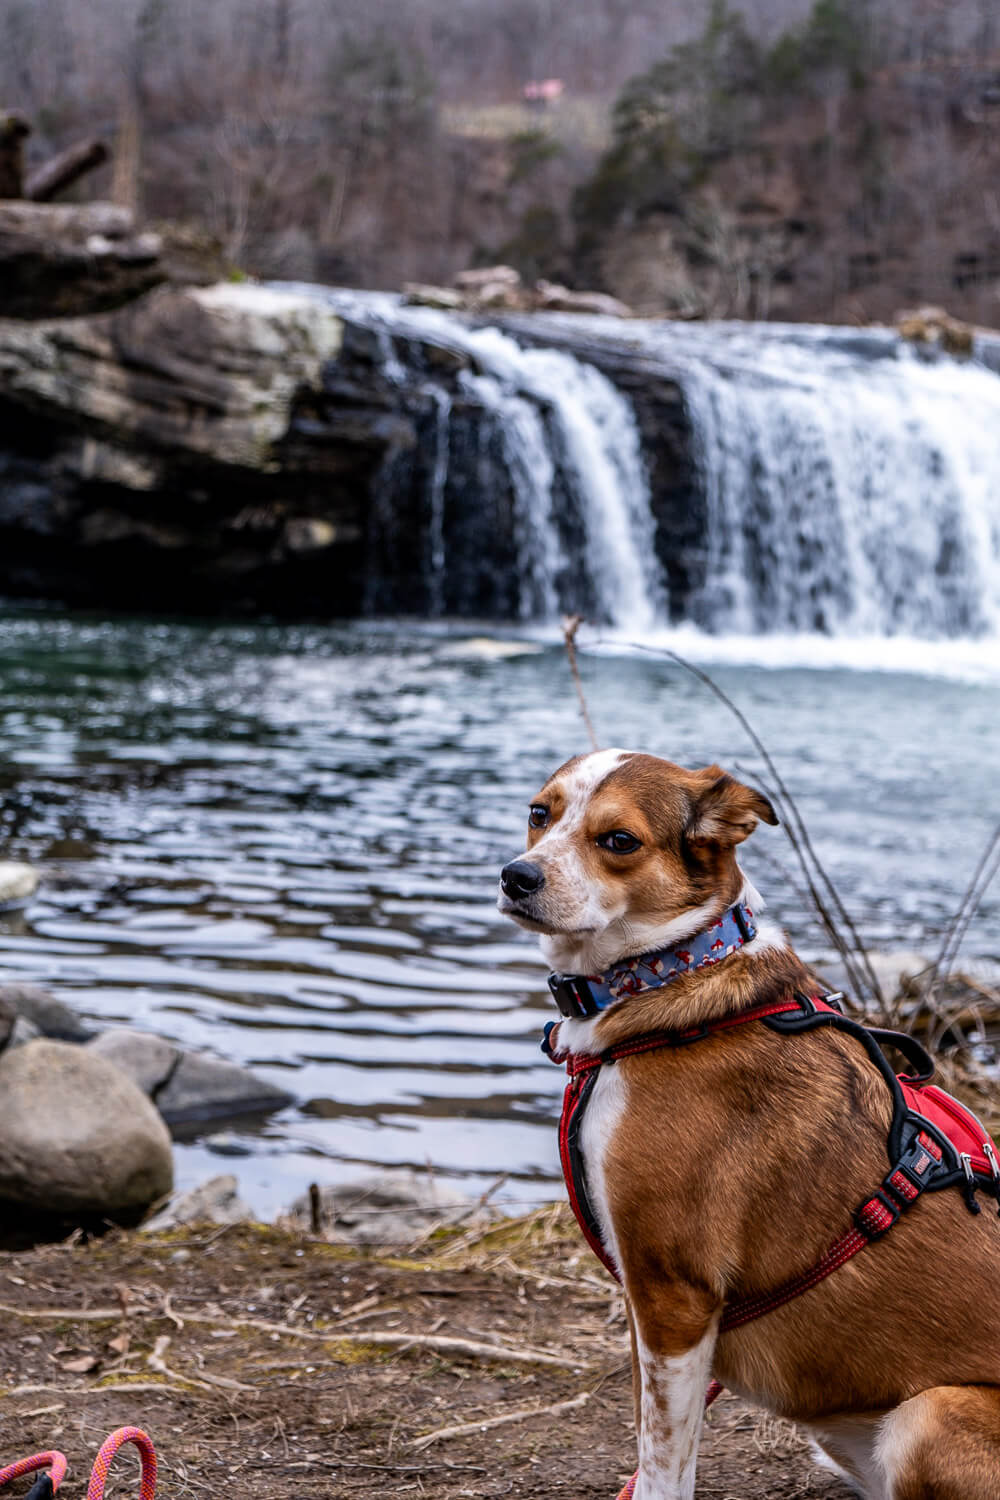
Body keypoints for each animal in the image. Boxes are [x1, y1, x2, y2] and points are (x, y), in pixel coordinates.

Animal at [497, 750, 1000, 1500]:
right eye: (540, 812)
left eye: (619, 840)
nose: (516, 876)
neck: (673, 972)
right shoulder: (650, 1307)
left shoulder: (673, 1293)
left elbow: (662, 1466)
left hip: (930, 1415)